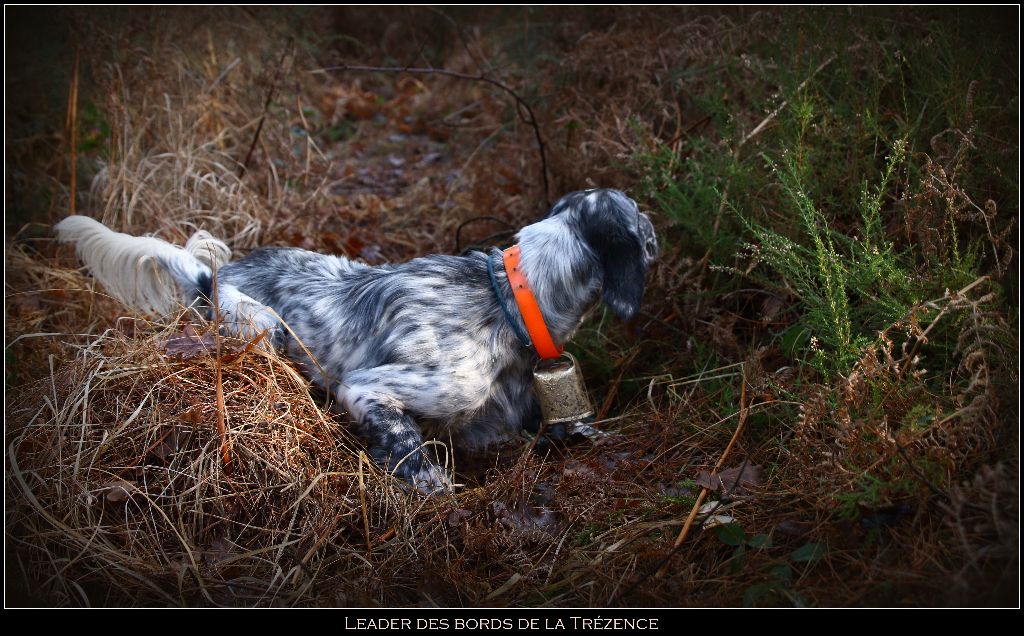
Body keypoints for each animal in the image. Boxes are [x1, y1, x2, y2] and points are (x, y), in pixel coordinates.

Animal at [56, 188, 659, 491]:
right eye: (643, 224)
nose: (658, 230)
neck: (505, 298)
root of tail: (211, 279)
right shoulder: (373, 389)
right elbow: (414, 456)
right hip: (263, 325)